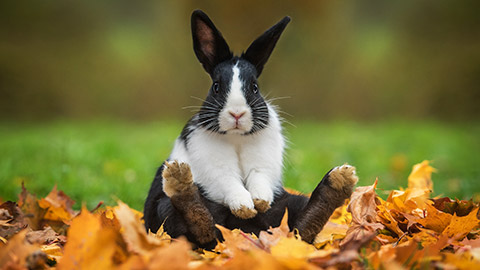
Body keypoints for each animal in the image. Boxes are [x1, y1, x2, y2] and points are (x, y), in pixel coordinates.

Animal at [142, 10, 356, 249]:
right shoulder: (214, 167)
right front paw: (245, 207)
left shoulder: (263, 164)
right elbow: (229, 181)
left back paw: (338, 182)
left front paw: (259, 202)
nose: (237, 114)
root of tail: (249, 233)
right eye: (216, 87)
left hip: (291, 203)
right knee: (200, 228)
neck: (236, 138)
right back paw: (180, 181)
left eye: (254, 87)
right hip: (164, 209)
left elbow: (258, 177)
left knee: (301, 229)